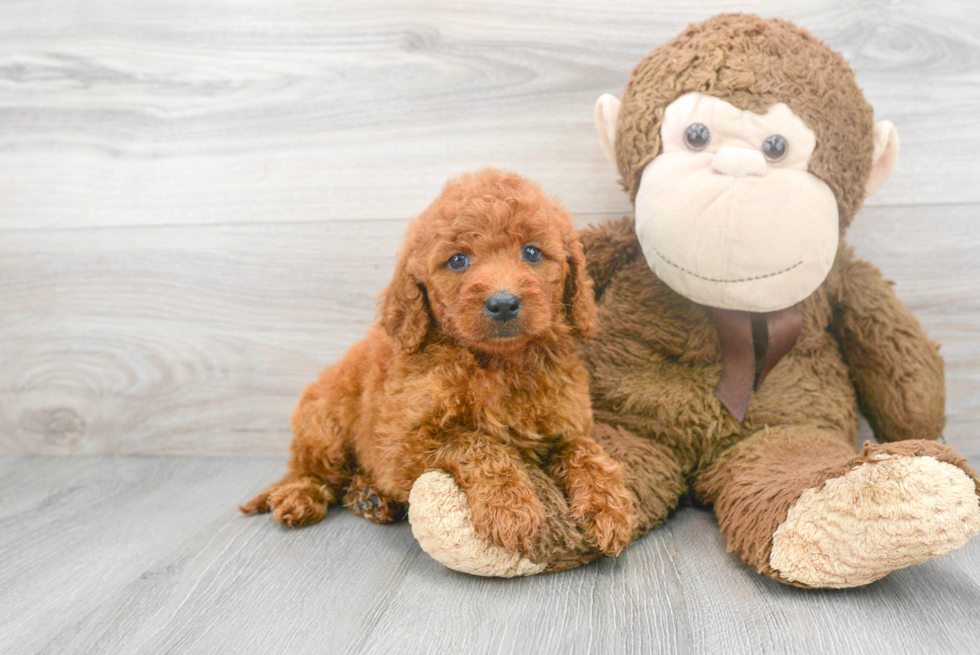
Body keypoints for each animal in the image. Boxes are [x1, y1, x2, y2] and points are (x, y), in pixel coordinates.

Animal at [241, 170, 632, 560]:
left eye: (532, 252)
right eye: (457, 260)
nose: (504, 303)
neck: (499, 362)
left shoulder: (568, 424)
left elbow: (585, 450)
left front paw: (607, 506)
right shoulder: (400, 445)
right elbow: (479, 443)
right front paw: (509, 507)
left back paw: (370, 497)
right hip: (325, 426)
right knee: (310, 471)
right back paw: (300, 496)